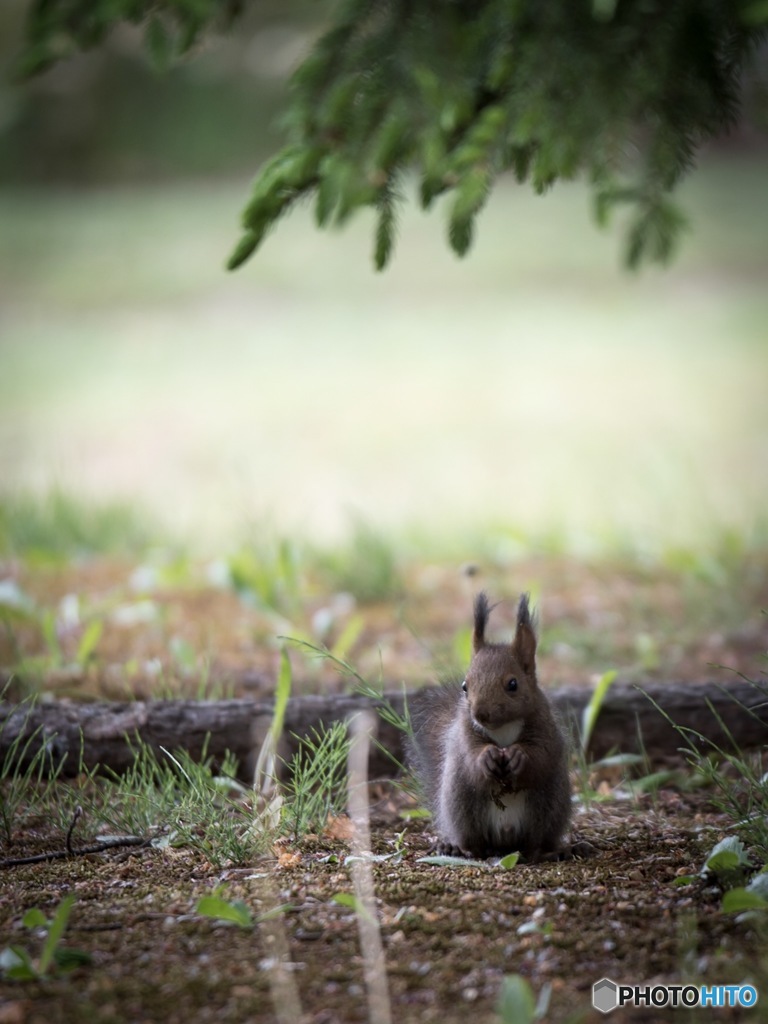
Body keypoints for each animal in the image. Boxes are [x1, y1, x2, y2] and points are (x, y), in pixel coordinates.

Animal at [409, 589, 573, 860]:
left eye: (513, 684)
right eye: (465, 686)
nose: (480, 714)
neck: (502, 728)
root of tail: (505, 841)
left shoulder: (545, 727)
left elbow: (541, 753)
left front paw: (519, 755)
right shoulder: (465, 732)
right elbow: (471, 754)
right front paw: (486, 757)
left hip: (549, 801)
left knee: (535, 842)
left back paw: (550, 852)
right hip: (461, 800)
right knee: (474, 842)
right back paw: (456, 848)